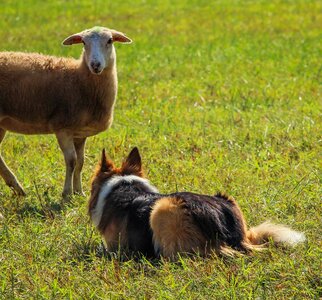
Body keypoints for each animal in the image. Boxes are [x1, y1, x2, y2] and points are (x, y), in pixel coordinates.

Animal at [0, 25, 132, 199]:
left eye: (110, 40)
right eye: (83, 42)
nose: (95, 65)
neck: (79, 79)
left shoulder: (81, 133)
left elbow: (81, 162)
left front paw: (79, 192)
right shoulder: (63, 127)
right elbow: (72, 161)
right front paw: (67, 194)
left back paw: (17, 188)